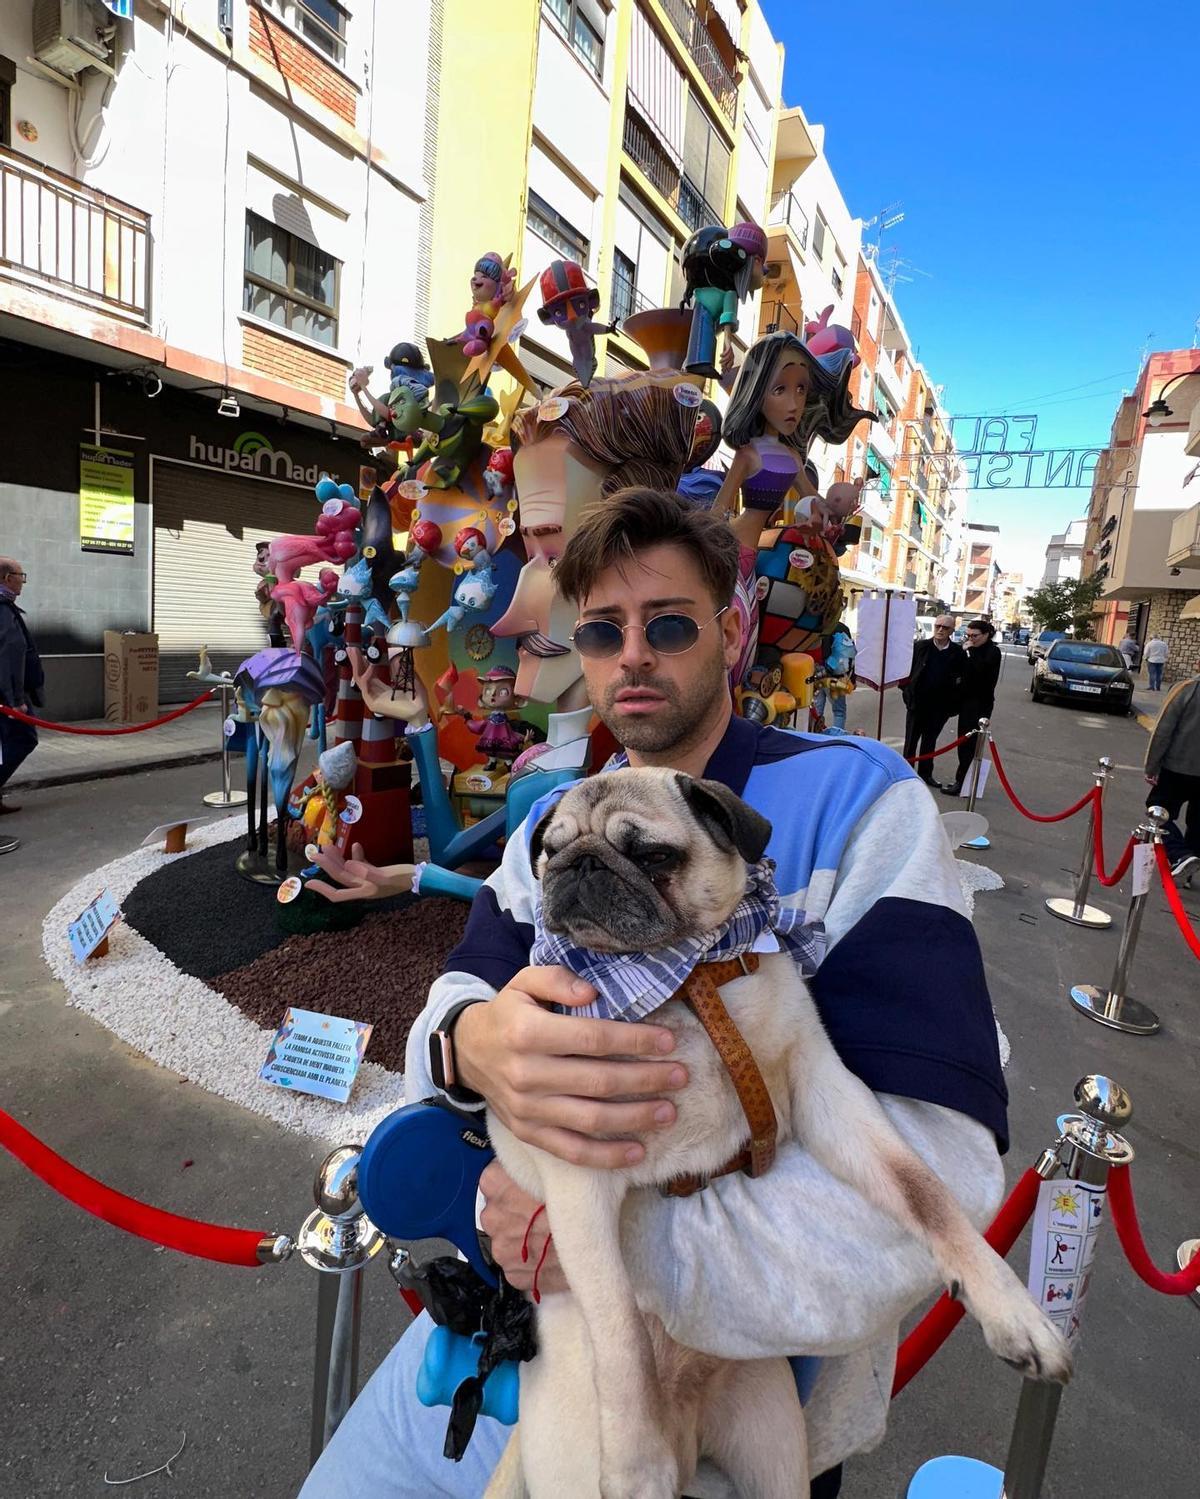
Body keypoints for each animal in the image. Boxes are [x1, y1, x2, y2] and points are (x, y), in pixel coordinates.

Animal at [482, 773, 1072, 1499]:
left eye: (653, 855)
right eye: (550, 852)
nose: (578, 865)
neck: (685, 981)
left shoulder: (827, 1092)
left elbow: (924, 1190)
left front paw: (1014, 1311)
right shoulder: (580, 1174)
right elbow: (620, 1328)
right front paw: (636, 1465)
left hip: (773, 1447)